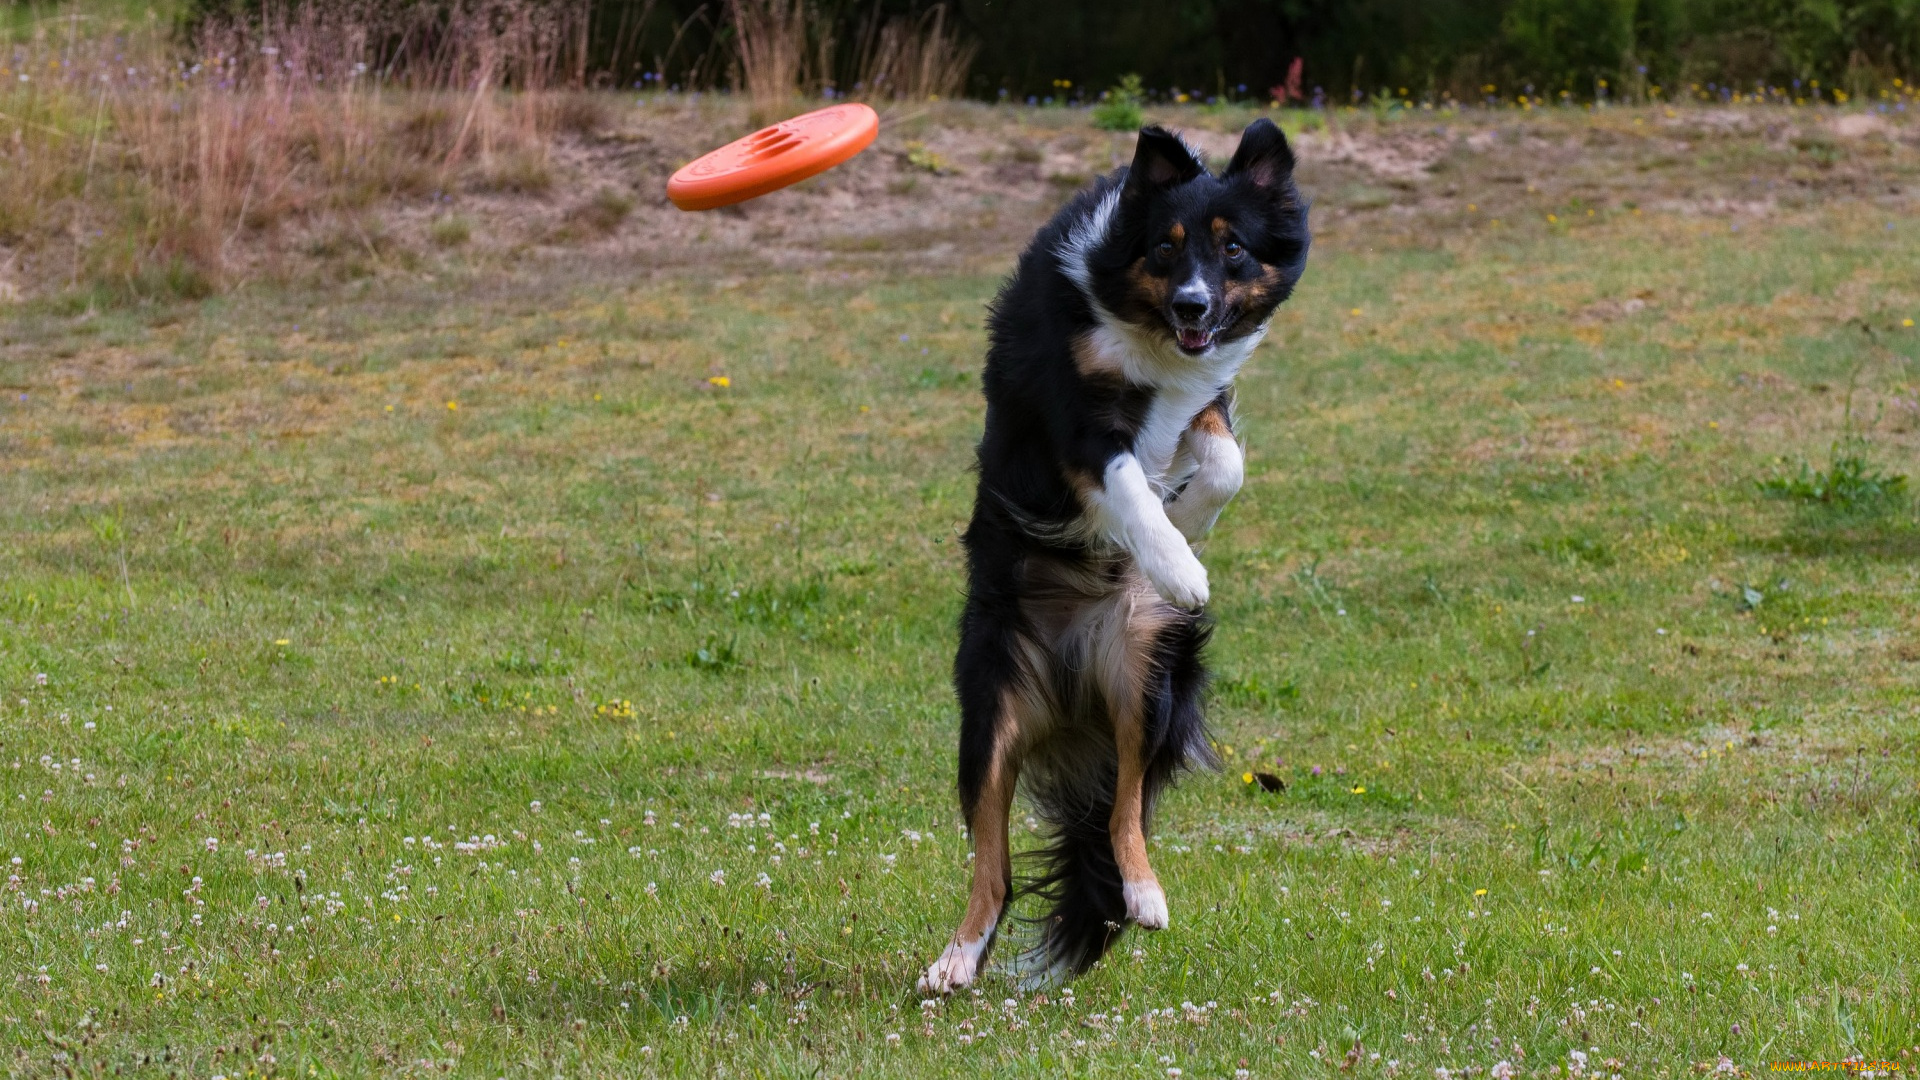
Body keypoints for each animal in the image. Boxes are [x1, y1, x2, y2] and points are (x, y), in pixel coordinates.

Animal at [913, 119, 1305, 991]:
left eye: (1234, 250)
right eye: (1165, 248)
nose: (1195, 304)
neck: (1149, 327)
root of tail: (1069, 694)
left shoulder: (1203, 397)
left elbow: (1227, 461)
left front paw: (1185, 518)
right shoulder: (1072, 416)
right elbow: (1126, 478)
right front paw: (1179, 561)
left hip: (1145, 682)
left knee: (1123, 813)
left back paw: (1144, 893)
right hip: (990, 711)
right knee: (993, 866)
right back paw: (955, 961)